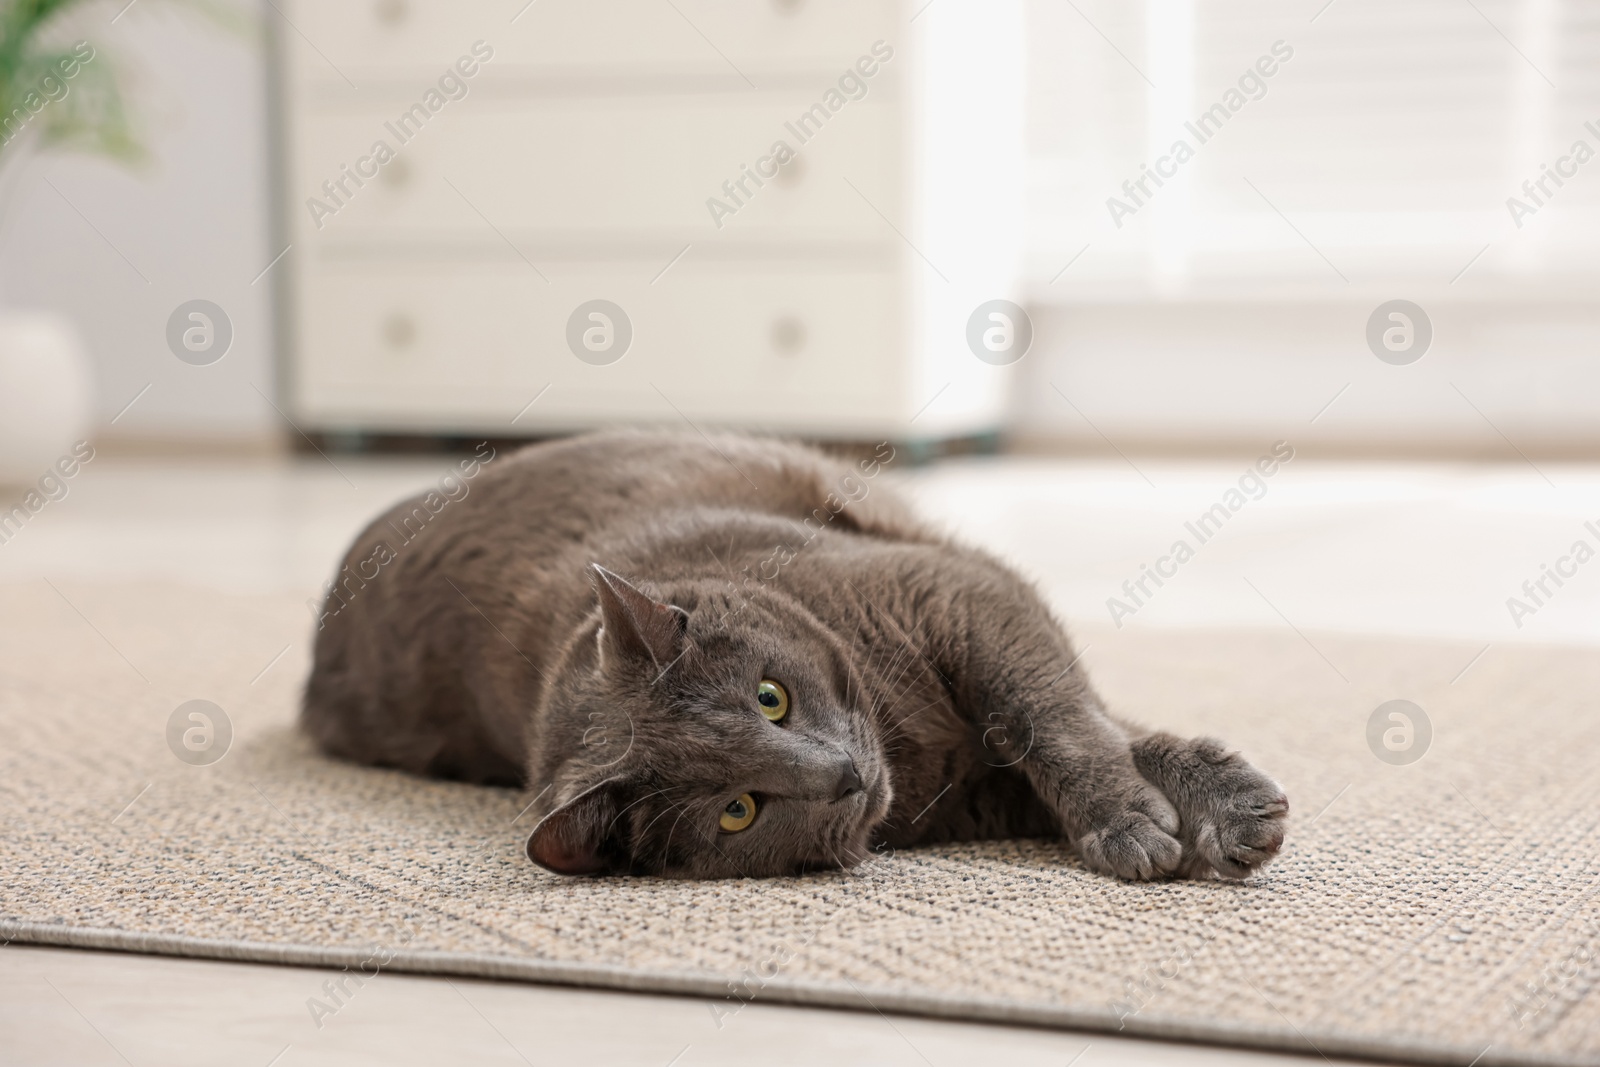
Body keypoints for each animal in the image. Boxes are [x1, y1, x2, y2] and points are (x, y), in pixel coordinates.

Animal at [302, 428, 1286, 883]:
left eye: (769, 696)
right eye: (738, 810)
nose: (844, 774)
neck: (907, 746)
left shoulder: (954, 591)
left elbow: (1055, 715)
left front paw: (1203, 805)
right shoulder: (969, 781)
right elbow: (1068, 733)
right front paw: (1157, 821)